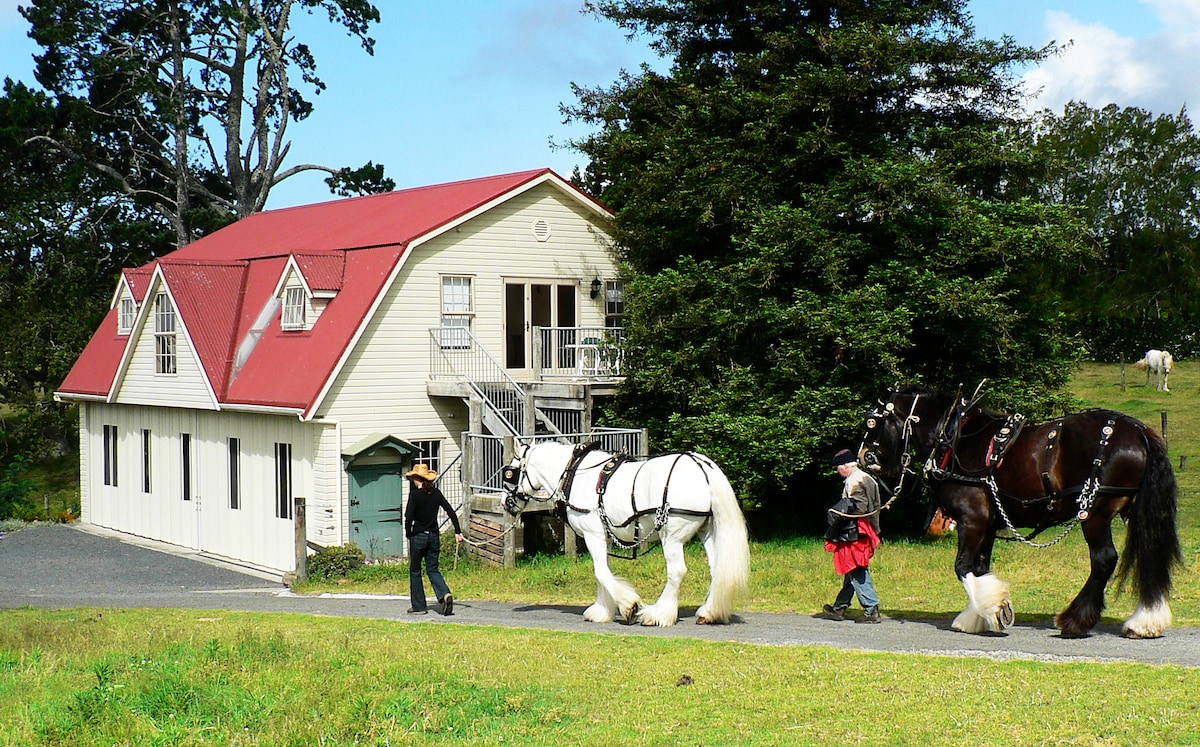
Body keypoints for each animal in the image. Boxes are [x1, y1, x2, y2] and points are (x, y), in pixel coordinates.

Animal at [499, 444, 744, 624]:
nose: (505, 502)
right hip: (707, 530)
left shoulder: (593, 534)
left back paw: (658, 614)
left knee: (677, 571)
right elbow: (603, 571)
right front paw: (601, 610)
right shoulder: (603, 537)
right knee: (716, 568)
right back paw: (709, 612)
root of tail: (702, 465)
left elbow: (600, 572)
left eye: (510, 473)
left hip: (671, 536)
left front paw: (629, 606)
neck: (574, 474)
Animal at [859, 386, 1185, 638]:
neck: (954, 440)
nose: (863, 456)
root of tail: (1138, 431)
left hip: (1096, 512)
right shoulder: (988, 525)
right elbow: (980, 567)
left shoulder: (972, 519)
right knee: (1148, 553)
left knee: (1104, 559)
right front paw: (985, 615)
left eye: (872, 423)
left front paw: (991, 609)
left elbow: (962, 567)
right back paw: (1145, 622)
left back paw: (1075, 621)